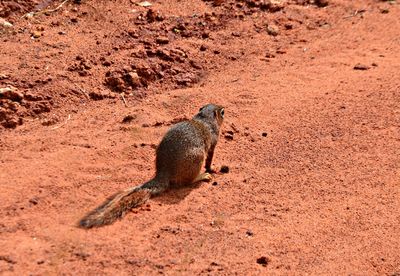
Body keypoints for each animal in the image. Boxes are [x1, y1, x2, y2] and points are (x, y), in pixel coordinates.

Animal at [79, 103, 225, 229]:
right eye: (222, 112)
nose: (224, 108)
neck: (204, 119)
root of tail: (163, 173)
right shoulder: (213, 142)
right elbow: (209, 159)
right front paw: (212, 170)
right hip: (196, 158)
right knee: (186, 181)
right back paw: (202, 176)